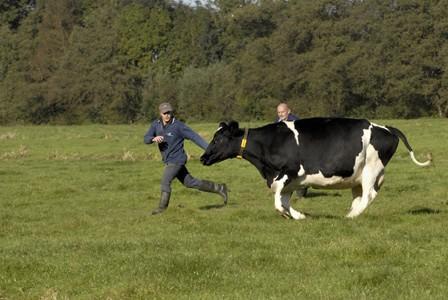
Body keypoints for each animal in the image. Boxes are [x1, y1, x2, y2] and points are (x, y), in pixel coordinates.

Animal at [200, 118, 430, 219]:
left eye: (218, 139)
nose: (203, 157)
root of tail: (385, 127)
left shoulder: (288, 172)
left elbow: (277, 200)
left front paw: (290, 214)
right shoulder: (288, 180)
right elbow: (283, 200)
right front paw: (299, 215)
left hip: (371, 170)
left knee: (369, 195)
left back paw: (352, 216)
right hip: (358, 175)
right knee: (360, 196)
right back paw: (351, 212)